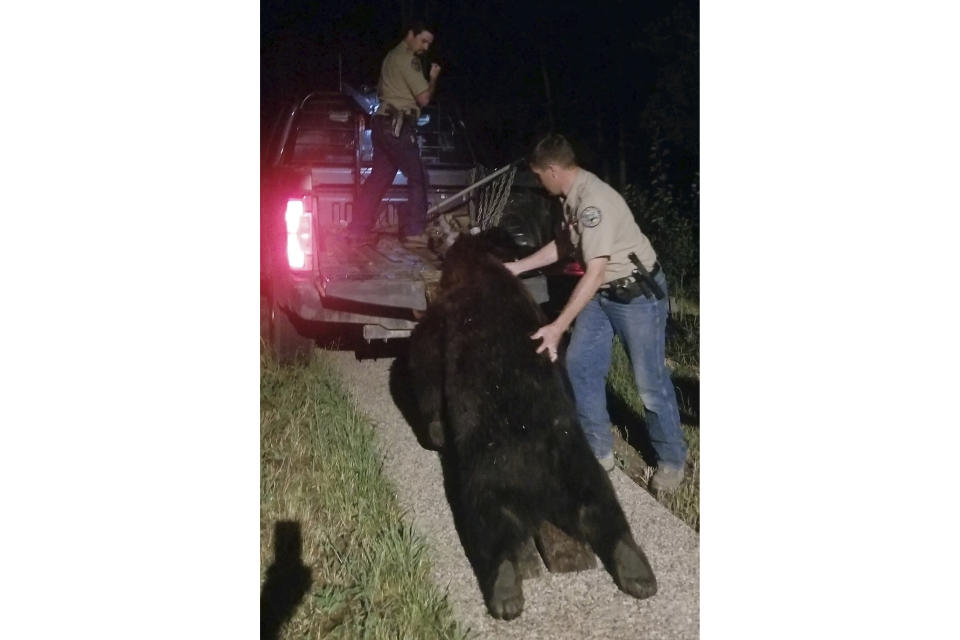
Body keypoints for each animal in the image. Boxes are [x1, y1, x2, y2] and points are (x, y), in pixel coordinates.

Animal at [408, 230, 656, 620]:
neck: (480, 267)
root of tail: (540, 494)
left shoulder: (445, 316)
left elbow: (424, 360)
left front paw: (433, 431)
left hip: (487, 474)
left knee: (489, 526)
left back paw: (505, 591)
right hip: (575, 460)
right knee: (603, 505)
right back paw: (636, 569)